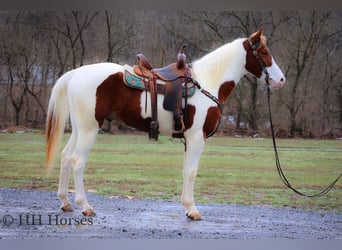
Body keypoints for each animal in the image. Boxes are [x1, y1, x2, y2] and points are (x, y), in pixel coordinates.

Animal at [45, 28, 286, 220]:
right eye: (264, 53)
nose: (281, 80)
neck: (207, 82)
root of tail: (77, 73)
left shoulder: (189, 140)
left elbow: (186, 171)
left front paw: (187, 207)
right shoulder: (196, 138)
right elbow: (192, 172)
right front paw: (193, 210)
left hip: (80, 129)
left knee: (66, 156)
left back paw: (65, 202)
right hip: (89, 130)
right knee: (77, 161)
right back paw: (85, 206)